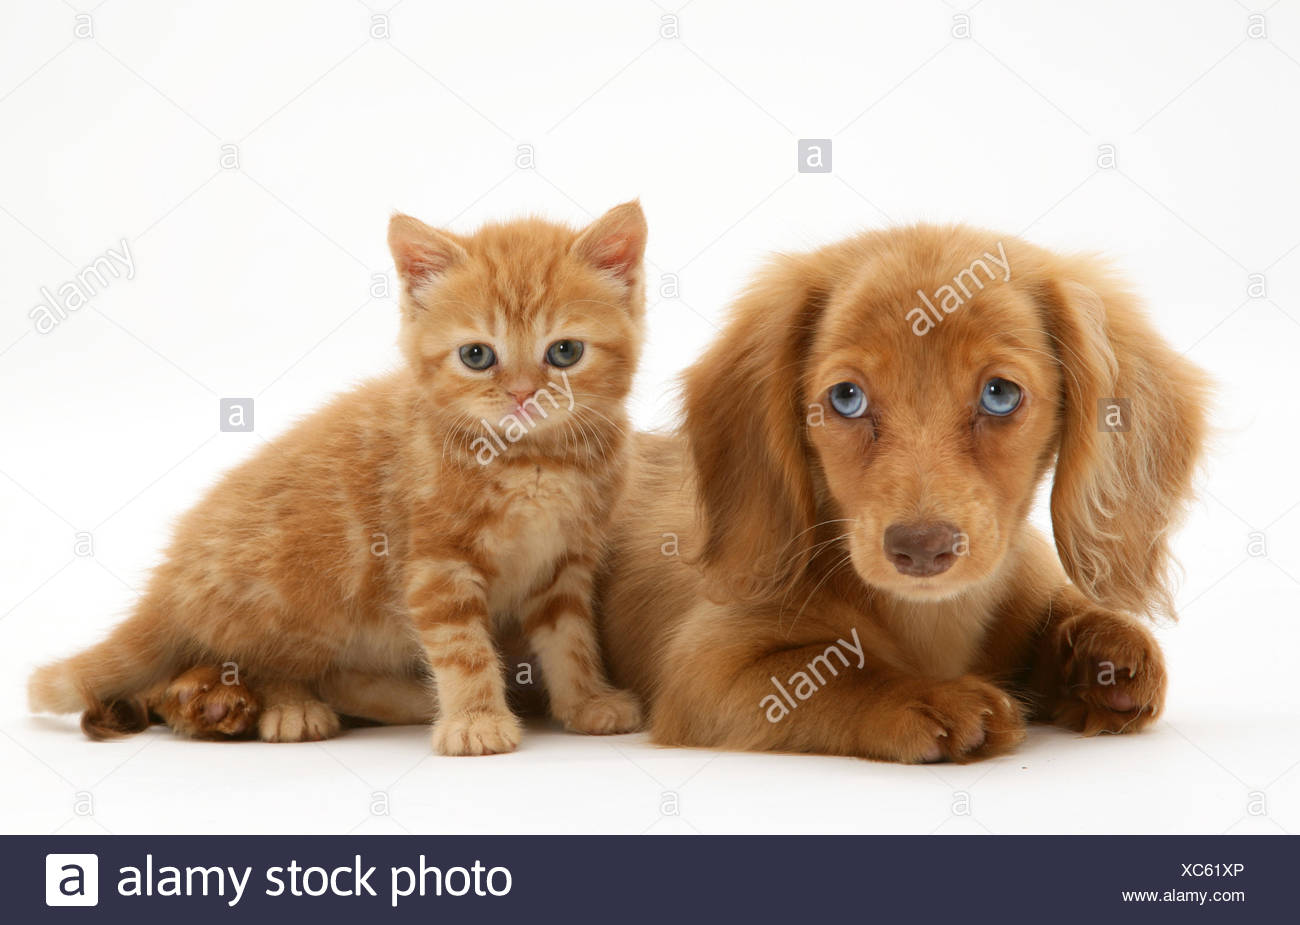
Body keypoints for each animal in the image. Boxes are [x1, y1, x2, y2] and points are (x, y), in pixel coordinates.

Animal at [25, 200, 644, 753]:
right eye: (476, 356)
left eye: (564, 352)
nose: (521, 395)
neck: (534, 461)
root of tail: (170, 580)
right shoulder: (435, 565)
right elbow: (461, 648)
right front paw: (476, 722)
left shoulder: (563, 563)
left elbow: (570, 640)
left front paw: (586, 703)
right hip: (304, 586)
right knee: (269, 661)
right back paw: (293, 709)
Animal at [598, 227, 1206, 763]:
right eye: (846, 397)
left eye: (1000, 394)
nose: (921, 548)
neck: (930, 619)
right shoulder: (709, 671)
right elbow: (832, 674)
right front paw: (927, 697)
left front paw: (1100, 650)